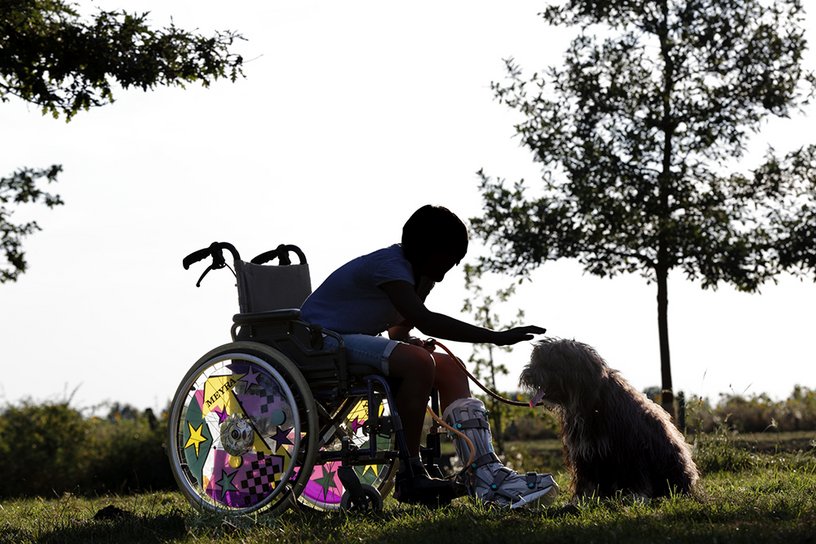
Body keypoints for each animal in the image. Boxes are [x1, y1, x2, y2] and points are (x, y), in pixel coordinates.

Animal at [520, 338, 700, 500]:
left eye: (549, 362)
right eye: (535, 360)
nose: (528, 374)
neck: (588, 401)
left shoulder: (628, 449)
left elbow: (633, 476)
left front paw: (634, 495)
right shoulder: (583, 450)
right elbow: (586, 480)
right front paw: (582, 499)